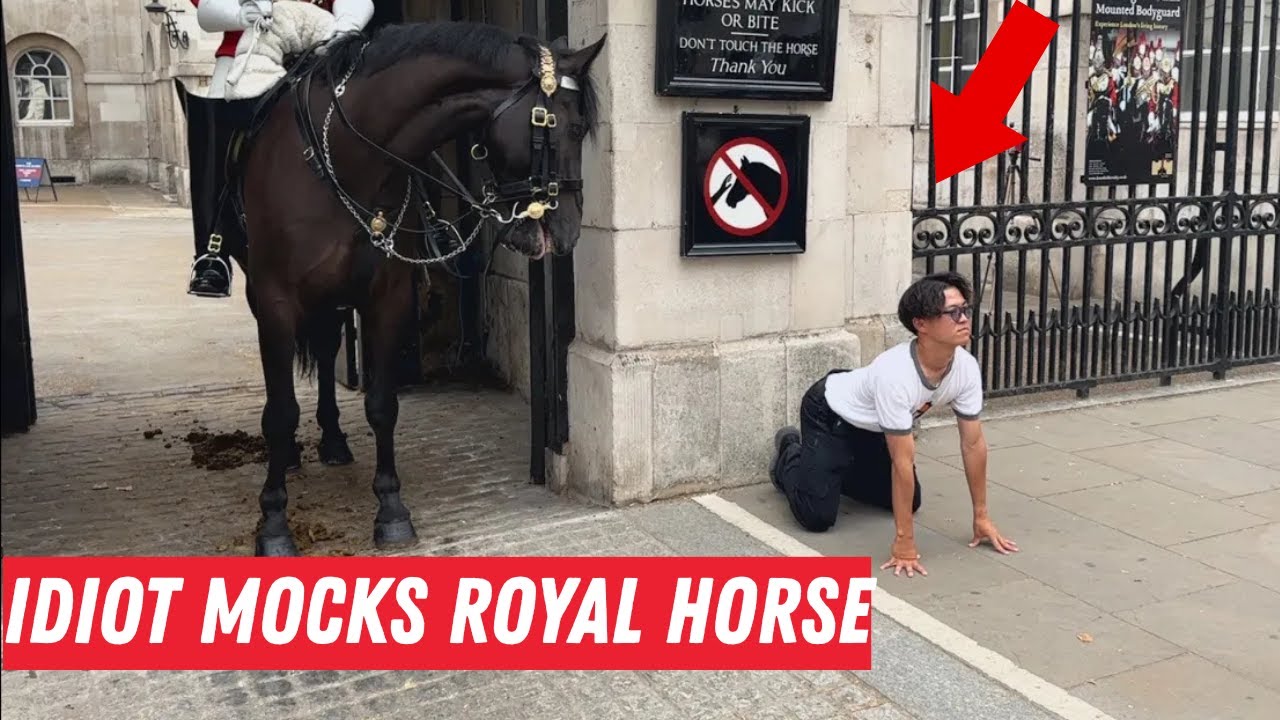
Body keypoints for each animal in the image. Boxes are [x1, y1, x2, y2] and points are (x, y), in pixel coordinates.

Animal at [214, 19, 607, 557]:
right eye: (559, 124)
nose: (567, 232)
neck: (346, 159)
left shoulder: (386, 298)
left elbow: (383, 405)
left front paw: (392, 510)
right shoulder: (274, 301)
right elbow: (279, 415)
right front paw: (273, 522)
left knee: (327, 346)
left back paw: (332, 439)